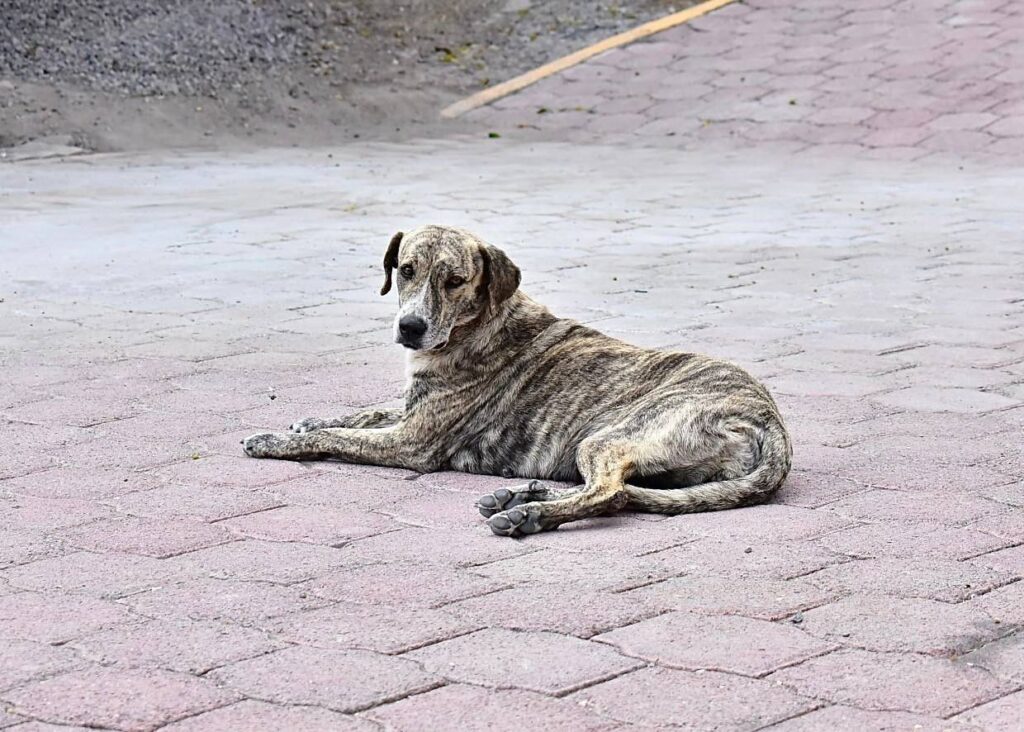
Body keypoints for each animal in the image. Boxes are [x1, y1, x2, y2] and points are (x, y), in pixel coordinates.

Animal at [243, 225, 792, 537]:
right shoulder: (412, 410)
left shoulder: (412, 442)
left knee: (609, 492)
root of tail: (772, 426)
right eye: (405, 270)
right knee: (625, 489)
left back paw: (528, 517)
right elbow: (361, 412)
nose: (410, 327)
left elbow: (339, 437)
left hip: (611, 436)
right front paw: (306, 421)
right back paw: (521, 498)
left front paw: (273, 440)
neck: (479, 324)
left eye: (454, 280)